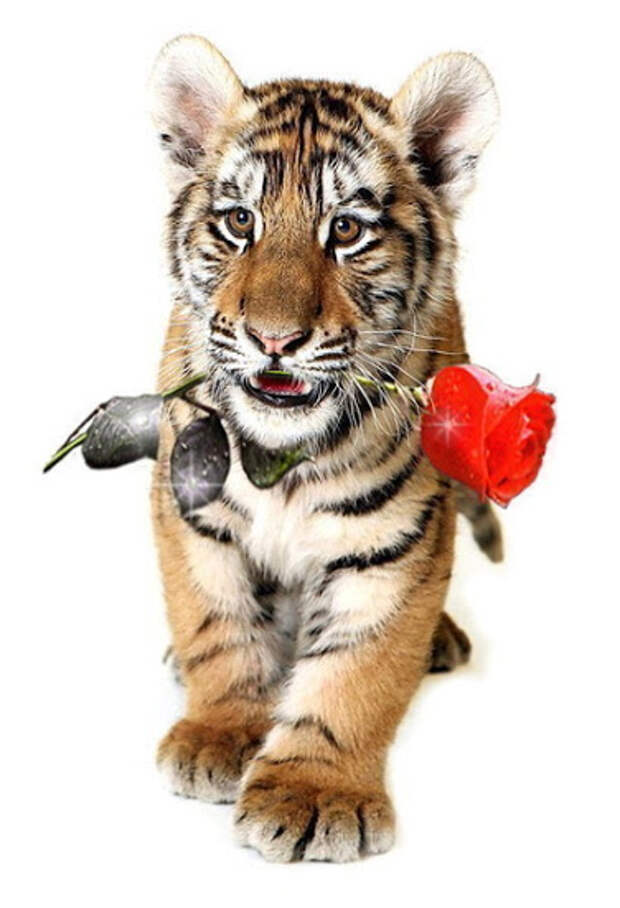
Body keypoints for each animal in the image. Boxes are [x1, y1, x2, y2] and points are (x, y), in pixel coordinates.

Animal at [149, 35, 502, 863]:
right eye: (238, 221)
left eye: (346, 231)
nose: (274, 339)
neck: (281, 460)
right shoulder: (190, 511)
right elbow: (215, 624)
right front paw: (218, 734)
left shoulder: (397, 542)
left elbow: (358, 674)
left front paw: (314, 793)